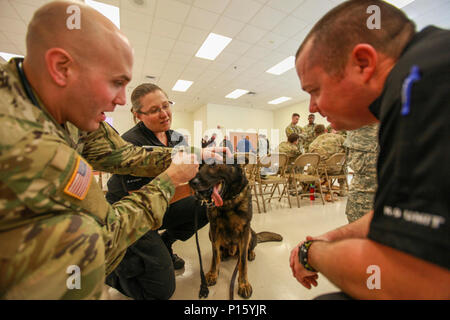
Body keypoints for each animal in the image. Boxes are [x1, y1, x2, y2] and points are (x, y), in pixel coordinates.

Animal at [189, 160, 282, 300]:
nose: (192, 183)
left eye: (213, 164)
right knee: (219, 251)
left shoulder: (244, 230)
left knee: (249, 248)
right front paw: (212, 273)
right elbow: (214, 255)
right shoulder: (213, 229)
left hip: (250, 234)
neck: (227, 202)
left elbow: (242, 262)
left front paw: (243, 284)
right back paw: (223, 254)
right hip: (211, 235)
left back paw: (251, 253)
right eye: (200, 165)